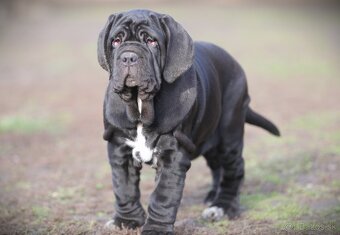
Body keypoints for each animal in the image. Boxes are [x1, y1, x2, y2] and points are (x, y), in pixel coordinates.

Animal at [97, 9, 280, 235]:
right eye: (115, 41)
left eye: (151, 41)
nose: (128, 56)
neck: (140, 105)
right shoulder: (119, 149)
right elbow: (124, 187)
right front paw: (126, 220)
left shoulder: (173, 155)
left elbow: (163, 196)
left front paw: (156, 228)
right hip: (211, 139)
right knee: (217, 167)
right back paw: (212, 196)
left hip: (229, 131)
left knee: (234, 168)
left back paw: (222, 207)